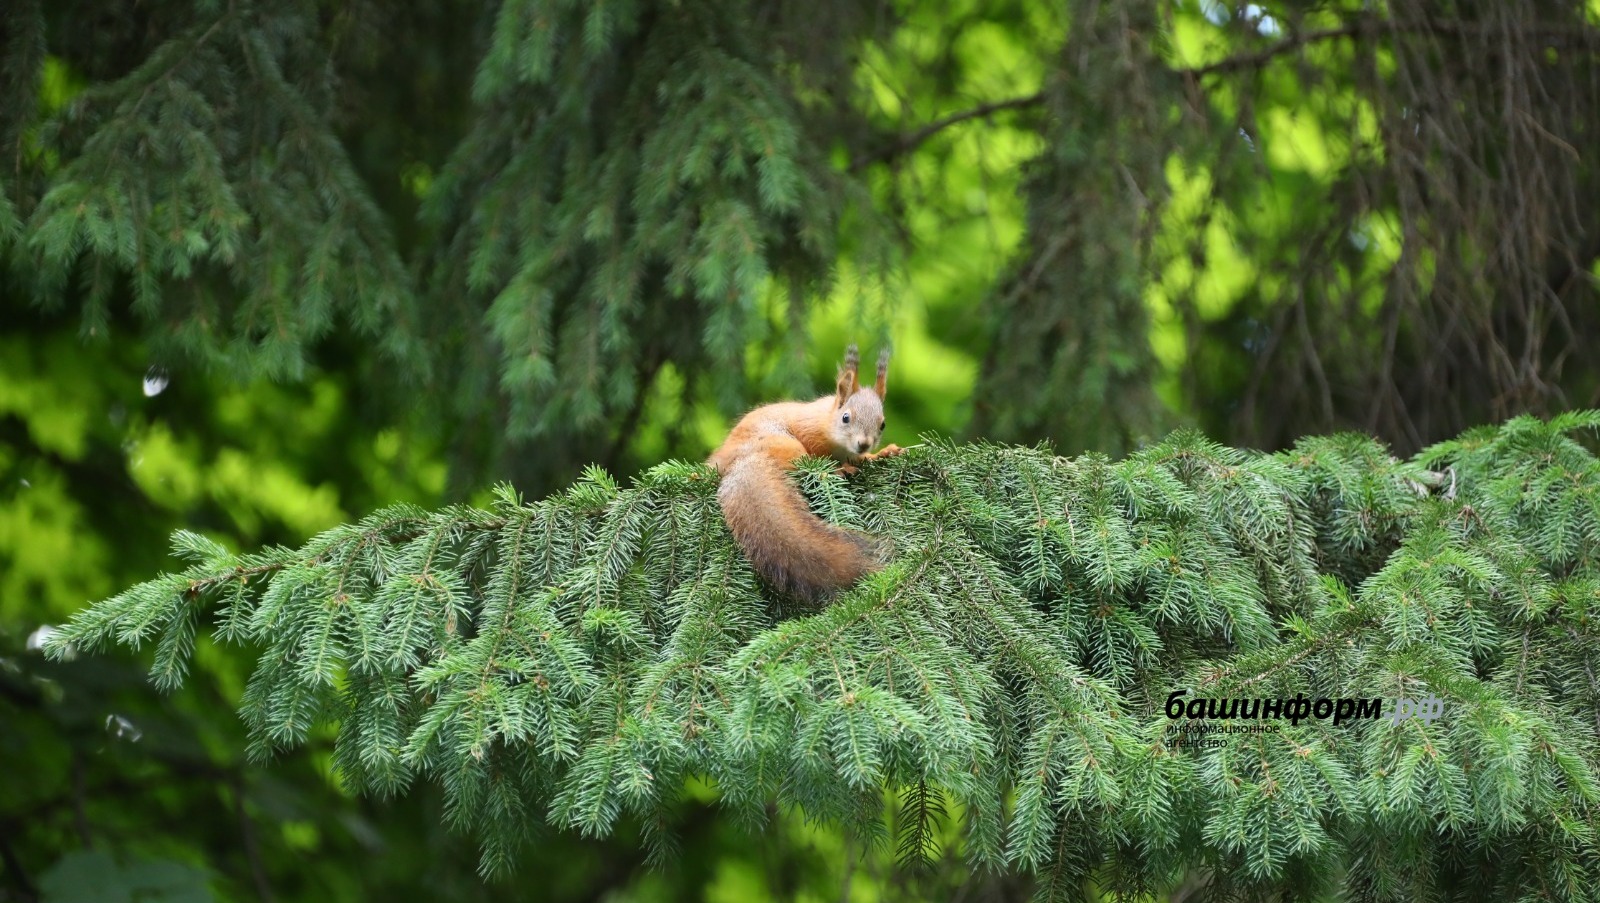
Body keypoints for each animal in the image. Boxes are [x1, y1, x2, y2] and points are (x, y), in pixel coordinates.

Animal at [710, 344, 902, 598]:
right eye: (846, 418)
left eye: (882, 424)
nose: (864, 443)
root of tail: (740, 461)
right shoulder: (809, 429)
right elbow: (819, 453)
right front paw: (841, 466)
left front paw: (882, 453)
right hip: (785, 445)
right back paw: (834, 471)